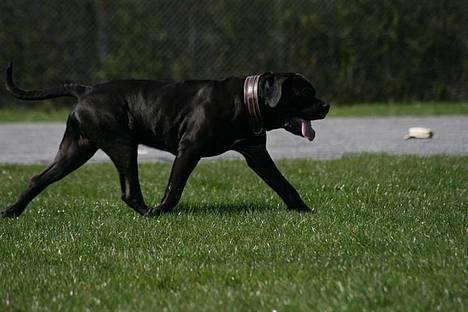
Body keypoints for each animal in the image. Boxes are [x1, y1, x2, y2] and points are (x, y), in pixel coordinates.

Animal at [0, 64, 330, 218]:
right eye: (305, 93)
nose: (326, 105)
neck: (247, 101)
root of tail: (85, 90)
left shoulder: (256, 154)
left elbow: (284, 186)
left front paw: (305, 211)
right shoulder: (189, 150)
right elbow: (174, 189)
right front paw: (163, 211)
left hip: (76, 150)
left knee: (38, 179)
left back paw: (12, 212)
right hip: (122, 145)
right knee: (129, 191)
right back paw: (150, 213)